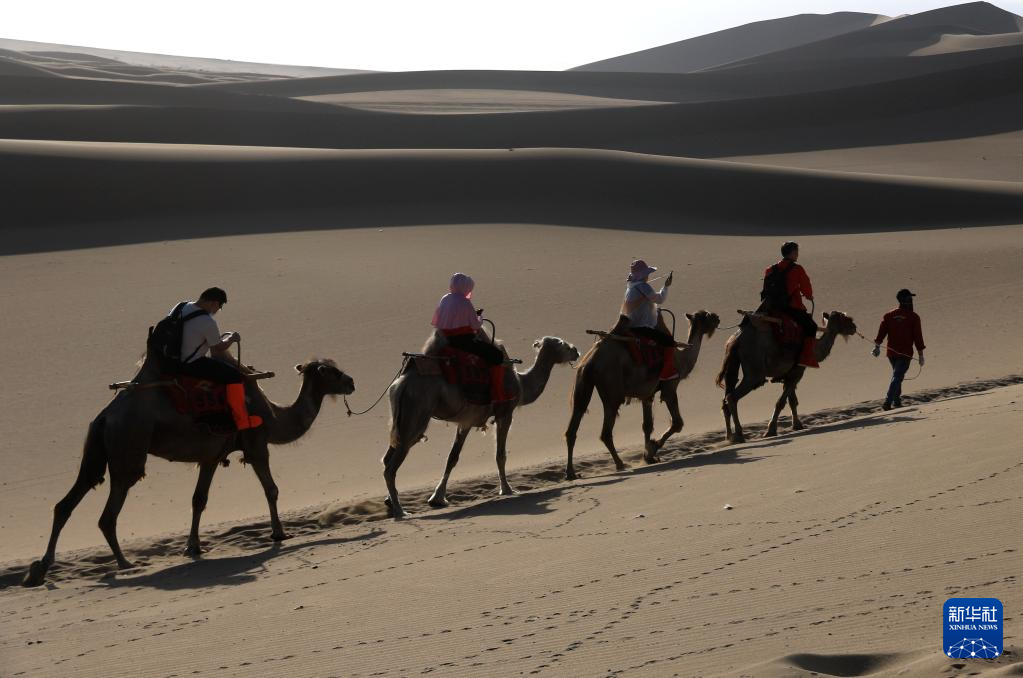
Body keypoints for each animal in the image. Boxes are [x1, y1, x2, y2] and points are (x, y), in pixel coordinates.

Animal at [22, 356, 355, 587]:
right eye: (332, 371)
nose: (352, 381)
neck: (274, 414)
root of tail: (105, 416)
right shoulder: (256, 443)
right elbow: (271, 489)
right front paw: (279, 533)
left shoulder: (211, 456)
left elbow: (199, 500)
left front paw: (193, 547)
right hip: (128, 449)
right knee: (108, 513)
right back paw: (124, 563)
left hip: (97, 448)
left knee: (67, 502)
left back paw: (39, 570)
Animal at [383, 335, 579, 519]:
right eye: (562, 344)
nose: (576, 350)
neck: (521, 383)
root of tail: (401, 384)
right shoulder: (505, 413)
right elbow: (500, 455)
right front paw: (507, 489)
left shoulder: (466, 421)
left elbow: (452, 458)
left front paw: (437, 498)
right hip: (415, 415)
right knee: (391, 467)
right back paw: (400, 511)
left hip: (401, 421)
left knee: (387, 458)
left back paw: (391, 503)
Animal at [564, 310, 720, 480]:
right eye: (707, 316)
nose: (717, 318)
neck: (681, 359)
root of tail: (590, 362)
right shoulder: (670, 387)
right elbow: (677, 423)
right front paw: (653, 447)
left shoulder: (647, 395)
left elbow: (647, 425)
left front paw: (648, 457)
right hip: (612, 388)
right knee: (606, 431)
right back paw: (620, 464)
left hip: (582, 382)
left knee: (574, 422)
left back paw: (571, 473)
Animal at [716, 310, 857, 443]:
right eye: (844, 318)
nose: (854, 327)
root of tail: (735, 340)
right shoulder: (798, 372)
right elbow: (781, 402)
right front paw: (771, 430)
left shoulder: (790, 374)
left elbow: (792, 401)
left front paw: (797, 425)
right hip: (754, 372)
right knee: (732, 397)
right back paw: (739, 435)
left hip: (732, 364)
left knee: (725, 398)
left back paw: (729, 437)